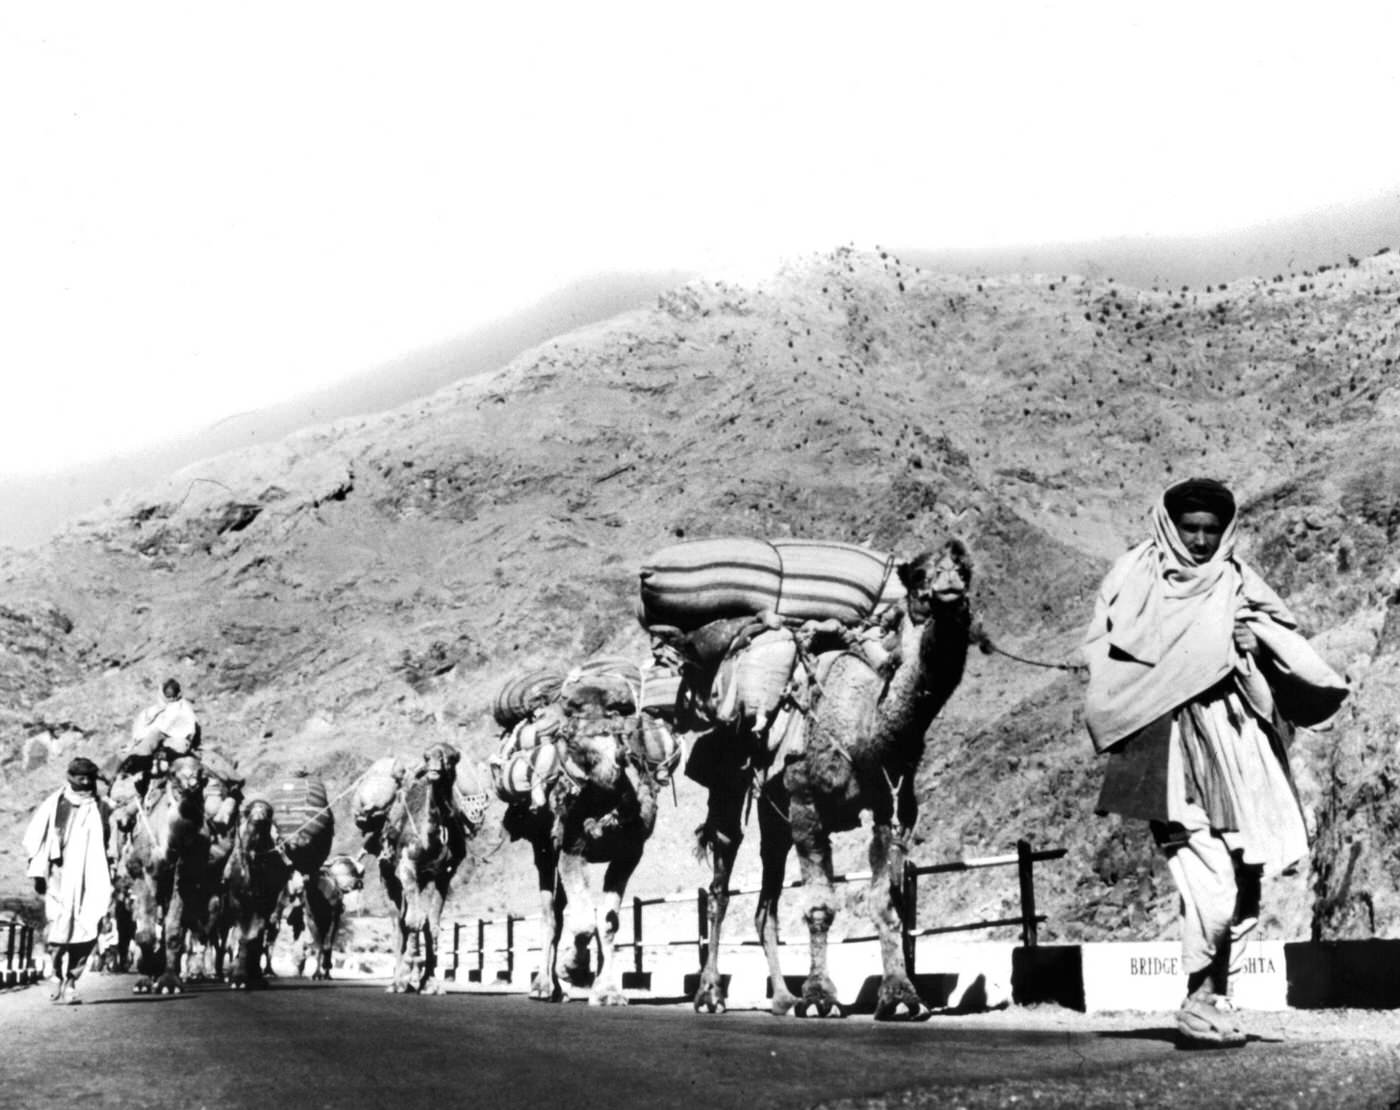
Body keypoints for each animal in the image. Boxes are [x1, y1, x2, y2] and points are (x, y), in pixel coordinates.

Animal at [378, 739, 476, 991]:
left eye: (452, 757)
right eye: (426, 756)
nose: (434, 769)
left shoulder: (443, 875)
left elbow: (431, 924)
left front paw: (430, 982)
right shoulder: (406, 866)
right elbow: (412, 921)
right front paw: (408, 973)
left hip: (422, 880)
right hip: (389, 879)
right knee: (398, 924)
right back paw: (397, 981)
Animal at [686, 540, 974, 1019]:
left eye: (965, 571)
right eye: (919, 577)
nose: (950, 590)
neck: (866, 729)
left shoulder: (890, 808)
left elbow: (886, 902)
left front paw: (900, 995)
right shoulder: (807, 805)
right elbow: (820, 906)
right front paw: (821, 996)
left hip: (774, 814)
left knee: (765, 904)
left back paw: (783, 998)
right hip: (732, 784)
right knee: (720, 884)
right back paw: (711, 994)